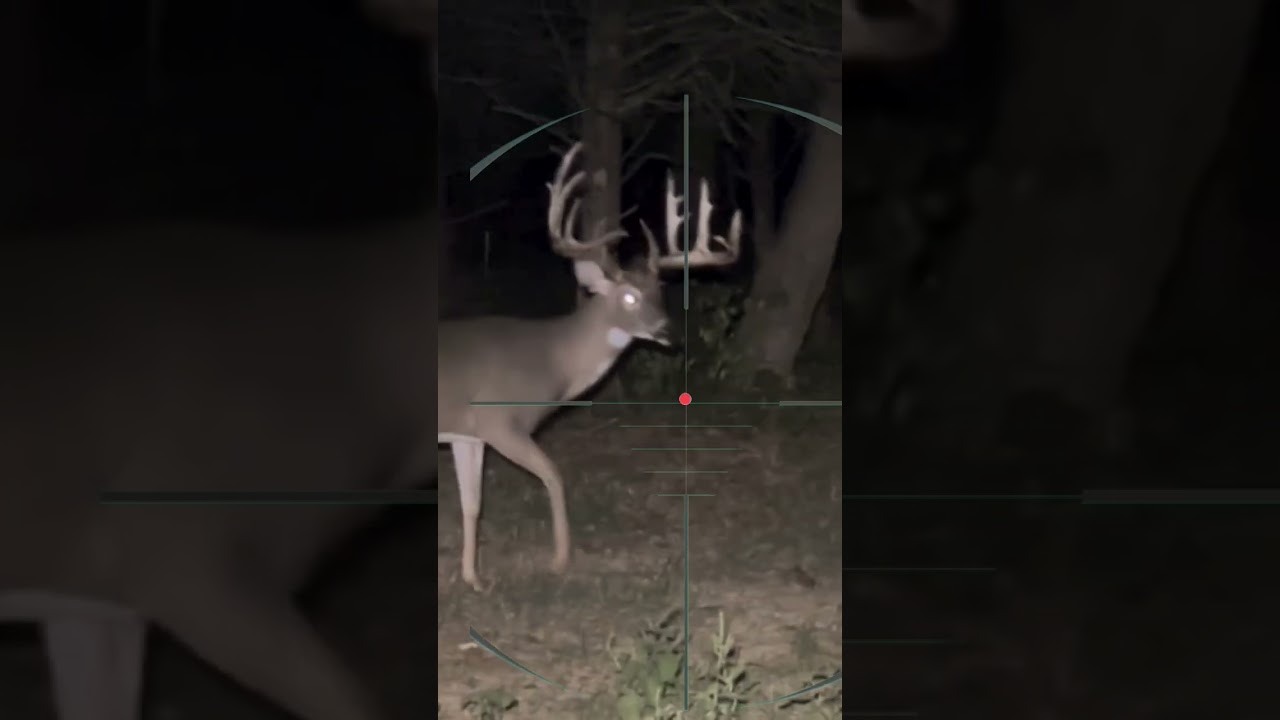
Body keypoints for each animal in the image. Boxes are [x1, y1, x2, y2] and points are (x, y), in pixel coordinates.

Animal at [438, 141, 742, 591]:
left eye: (660, 292)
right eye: (630, 297)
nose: (669, 333)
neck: (552, 360)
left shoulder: (469, 433)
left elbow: (472, 503)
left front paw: (473, 578)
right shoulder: (500, 421)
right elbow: (554, 476)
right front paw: (560, 560)